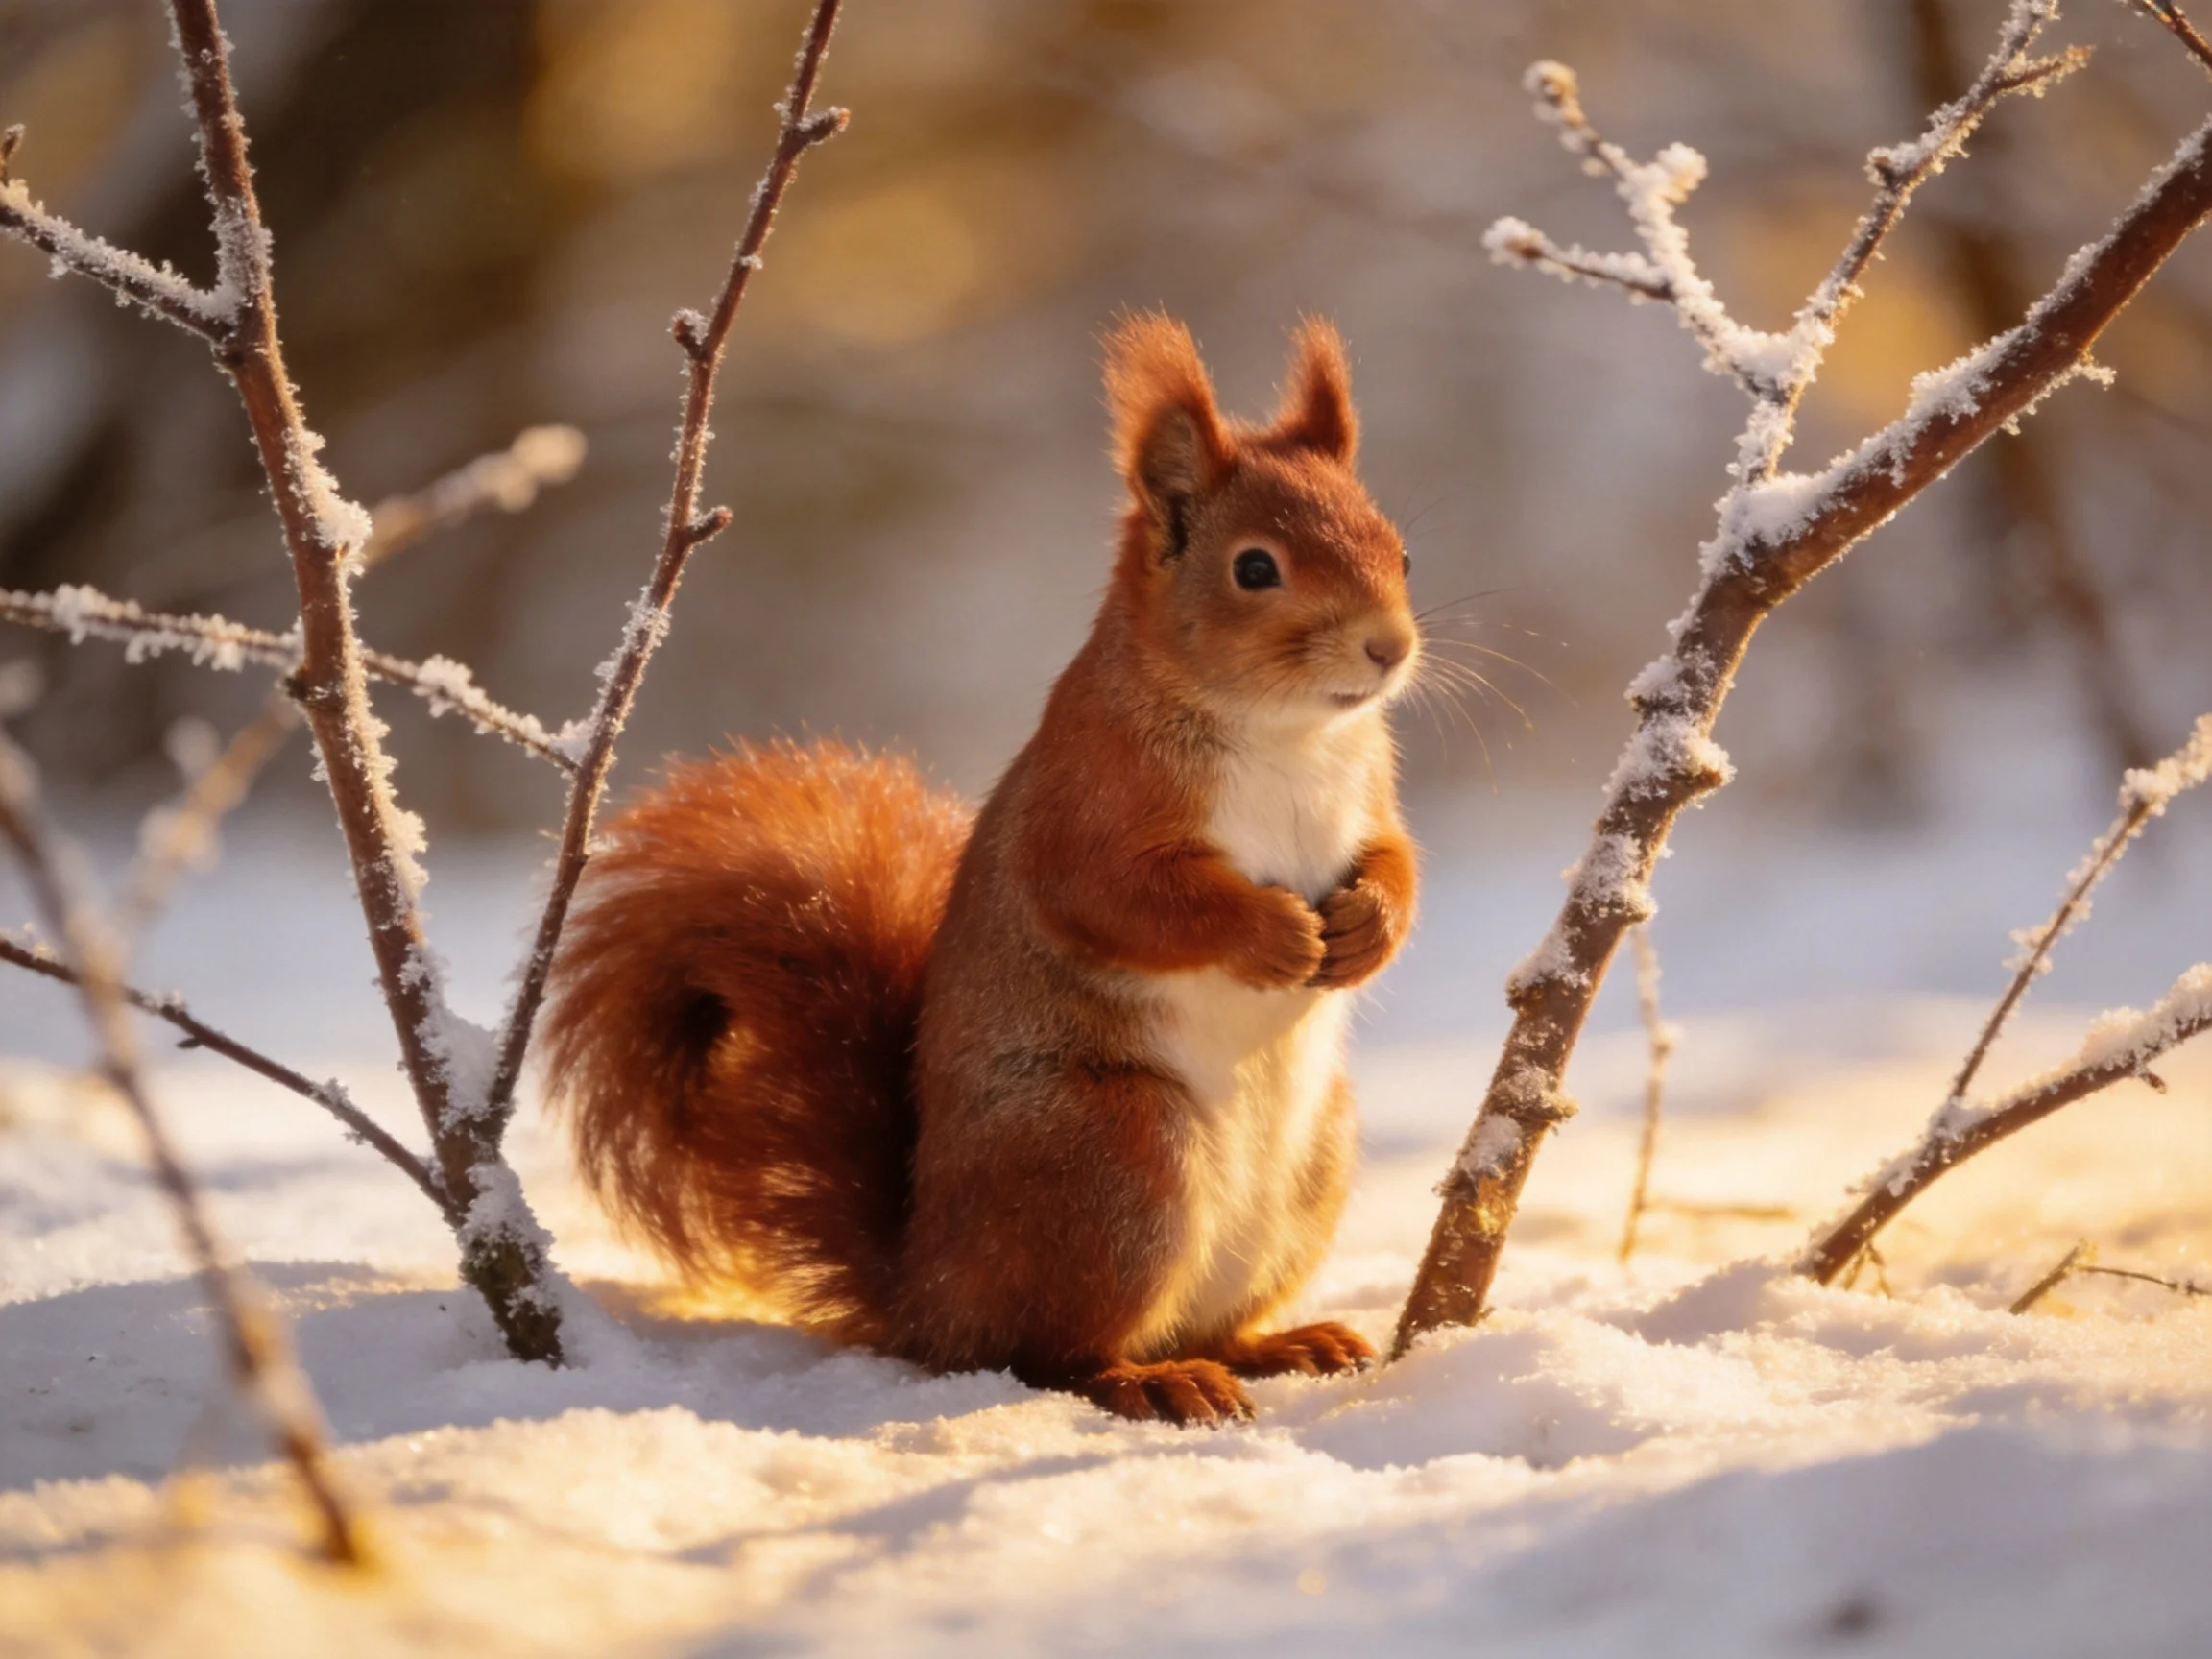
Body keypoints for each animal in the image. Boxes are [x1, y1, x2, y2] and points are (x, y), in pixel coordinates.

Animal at [542, 313, 1419, 1426]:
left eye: (1403, 549)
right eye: (1255, 569)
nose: (1389, 648)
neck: (1286, 733)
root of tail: (929, 1290)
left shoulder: (1369, 793)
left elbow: (1398, 859)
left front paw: (1367, 927)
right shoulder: (1087, 806)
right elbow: (1123, 900)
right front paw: (1274, 934)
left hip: (1309, 1165)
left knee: (1196, 1326)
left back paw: (1280, 1344)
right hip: (1119, 1153)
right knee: (1047, 1353)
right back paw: (1151, 1378)